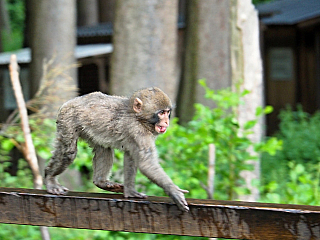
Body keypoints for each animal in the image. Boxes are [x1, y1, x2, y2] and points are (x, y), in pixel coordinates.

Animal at [45, 87, 190, 211]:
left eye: (167, 112)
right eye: (161, 113)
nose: (166, 122)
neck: (138, 117)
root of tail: (69, 102)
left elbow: (131, 156)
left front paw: (130, 191)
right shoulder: (138, 130)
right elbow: (146, 163)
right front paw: (173, 191)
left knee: (104, 148)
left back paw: (101, 182)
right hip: (67, 119)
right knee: (68, 153)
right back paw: (49, 177)